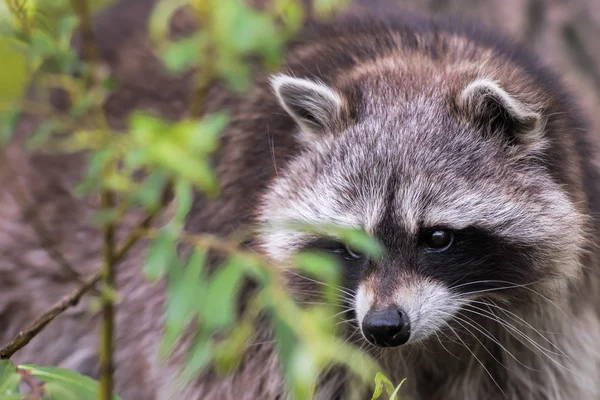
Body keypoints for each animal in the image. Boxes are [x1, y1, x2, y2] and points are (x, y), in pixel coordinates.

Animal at [3, 0, 600, 398]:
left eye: (436, 237)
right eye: (351, 243)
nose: (384, 327)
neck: (417, 60)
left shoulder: (544, 330)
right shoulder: (249, 307)